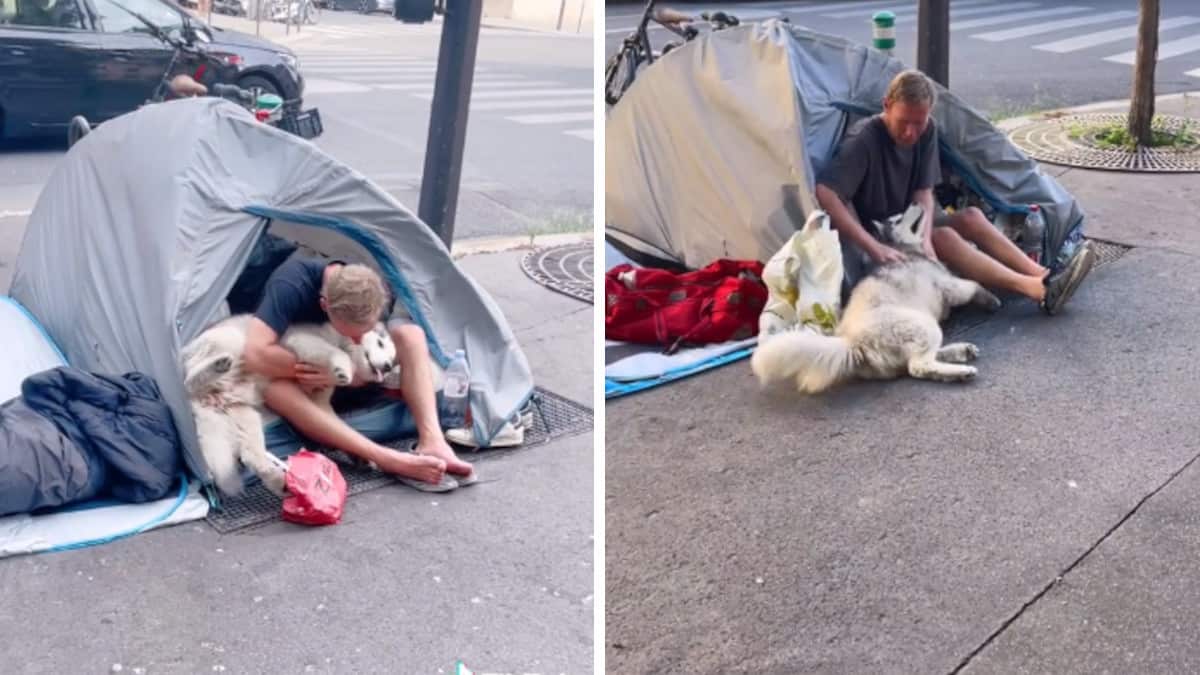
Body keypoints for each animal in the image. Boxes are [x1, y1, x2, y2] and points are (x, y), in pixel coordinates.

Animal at [180, 314, 398, 494]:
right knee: (188, 381)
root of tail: (206, 399)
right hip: (230, 340)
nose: (388, 367)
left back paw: (278, 481)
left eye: (392, 359)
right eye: (380, 343)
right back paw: (217, 366)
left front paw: (360, 456)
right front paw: (343, 368)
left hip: (246, 418)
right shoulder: (300, 340)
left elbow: (338, 430)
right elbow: (333, 351)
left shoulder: (320, 402)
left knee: (251, 456)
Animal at [748, 206, 1003, 393]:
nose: (917, 201)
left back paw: (960, 352)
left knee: (913, 362)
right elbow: (971, 284)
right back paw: (959, 372)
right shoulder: (947, 285)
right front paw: (989, 298)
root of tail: (853, 343)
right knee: (917, 366)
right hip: (920, 325)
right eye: (897, 219)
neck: (904, 247)